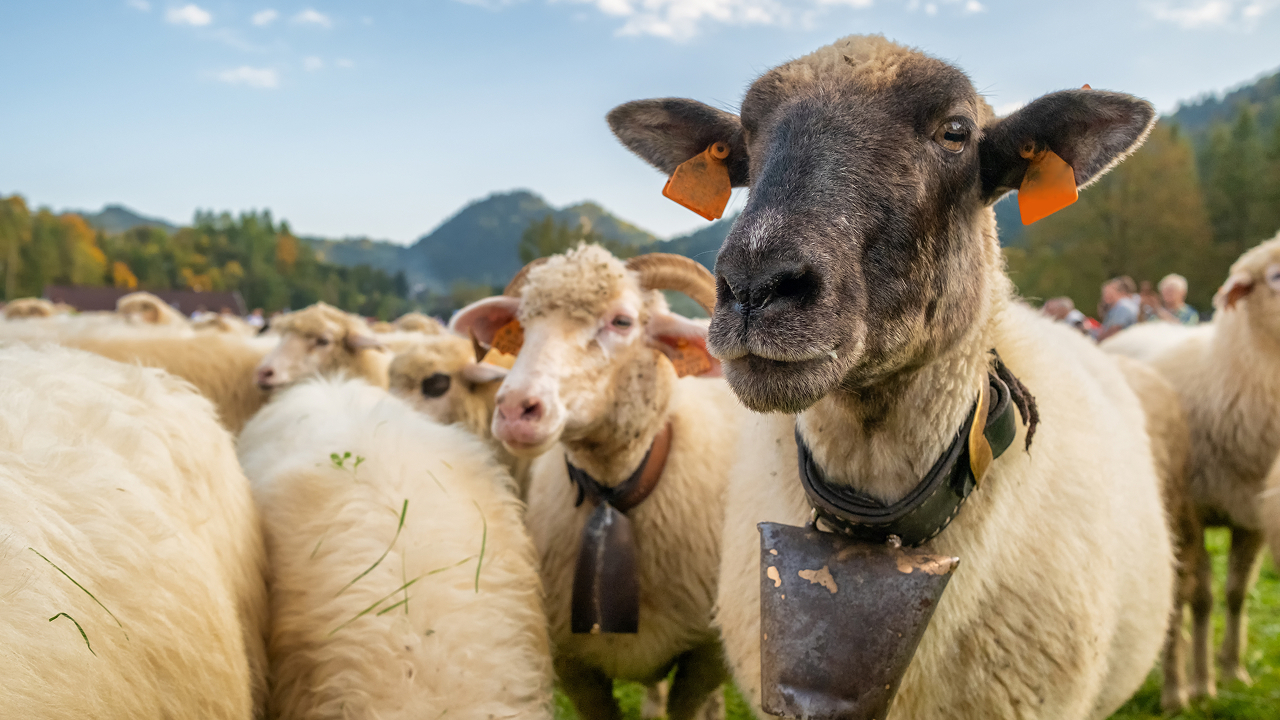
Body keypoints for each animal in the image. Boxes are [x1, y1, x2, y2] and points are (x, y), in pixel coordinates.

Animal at [452, 246, 741, 720]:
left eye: (622, 322)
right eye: (523, 325)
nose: (515, 409)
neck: (614, 492)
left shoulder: (706, 655)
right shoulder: (572, 664)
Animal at [1106, 230, 1280, 696]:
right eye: (1275, 276)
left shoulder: (1252, 514)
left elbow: (1237, 593)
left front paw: (1232, 669)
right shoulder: (1195, 511)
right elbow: (1202, 599)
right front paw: (1201, 685)